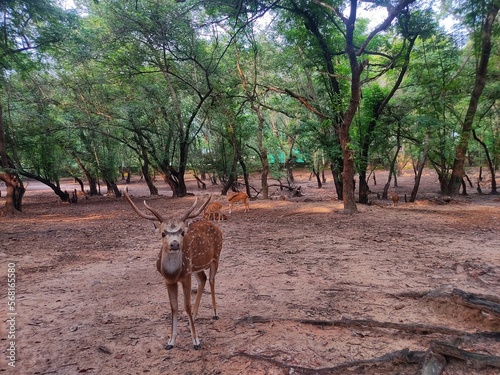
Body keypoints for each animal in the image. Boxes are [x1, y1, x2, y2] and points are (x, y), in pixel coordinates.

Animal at [123, 192, 223, 352]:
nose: (175, 244)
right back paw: (194, 315)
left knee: (212, 280)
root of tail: (216, 226)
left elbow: (186, 306)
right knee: (203, 279)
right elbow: (173, 307)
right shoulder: (168, 280)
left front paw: (196, 341)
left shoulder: (186, 276)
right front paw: (170, 341)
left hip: (216, 256)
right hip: (195, 268)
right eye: (163, 233)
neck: (173, 273)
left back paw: (214, 313)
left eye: (182, 232)